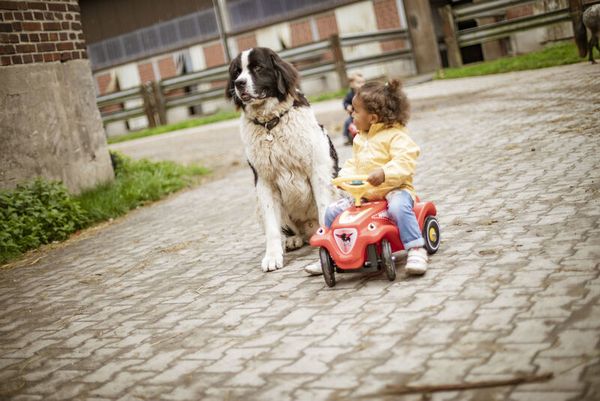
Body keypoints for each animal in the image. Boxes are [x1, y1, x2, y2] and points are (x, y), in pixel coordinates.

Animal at [225, 47, 338, 272]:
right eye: (236, 72)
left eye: (258, 68)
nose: (239, 83)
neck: (271, 123)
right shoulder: (264, 182)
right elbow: (272, 227)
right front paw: (272, 257)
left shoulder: (318, 170)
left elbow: (324, 208)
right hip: (259, 206)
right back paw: (294, 240)